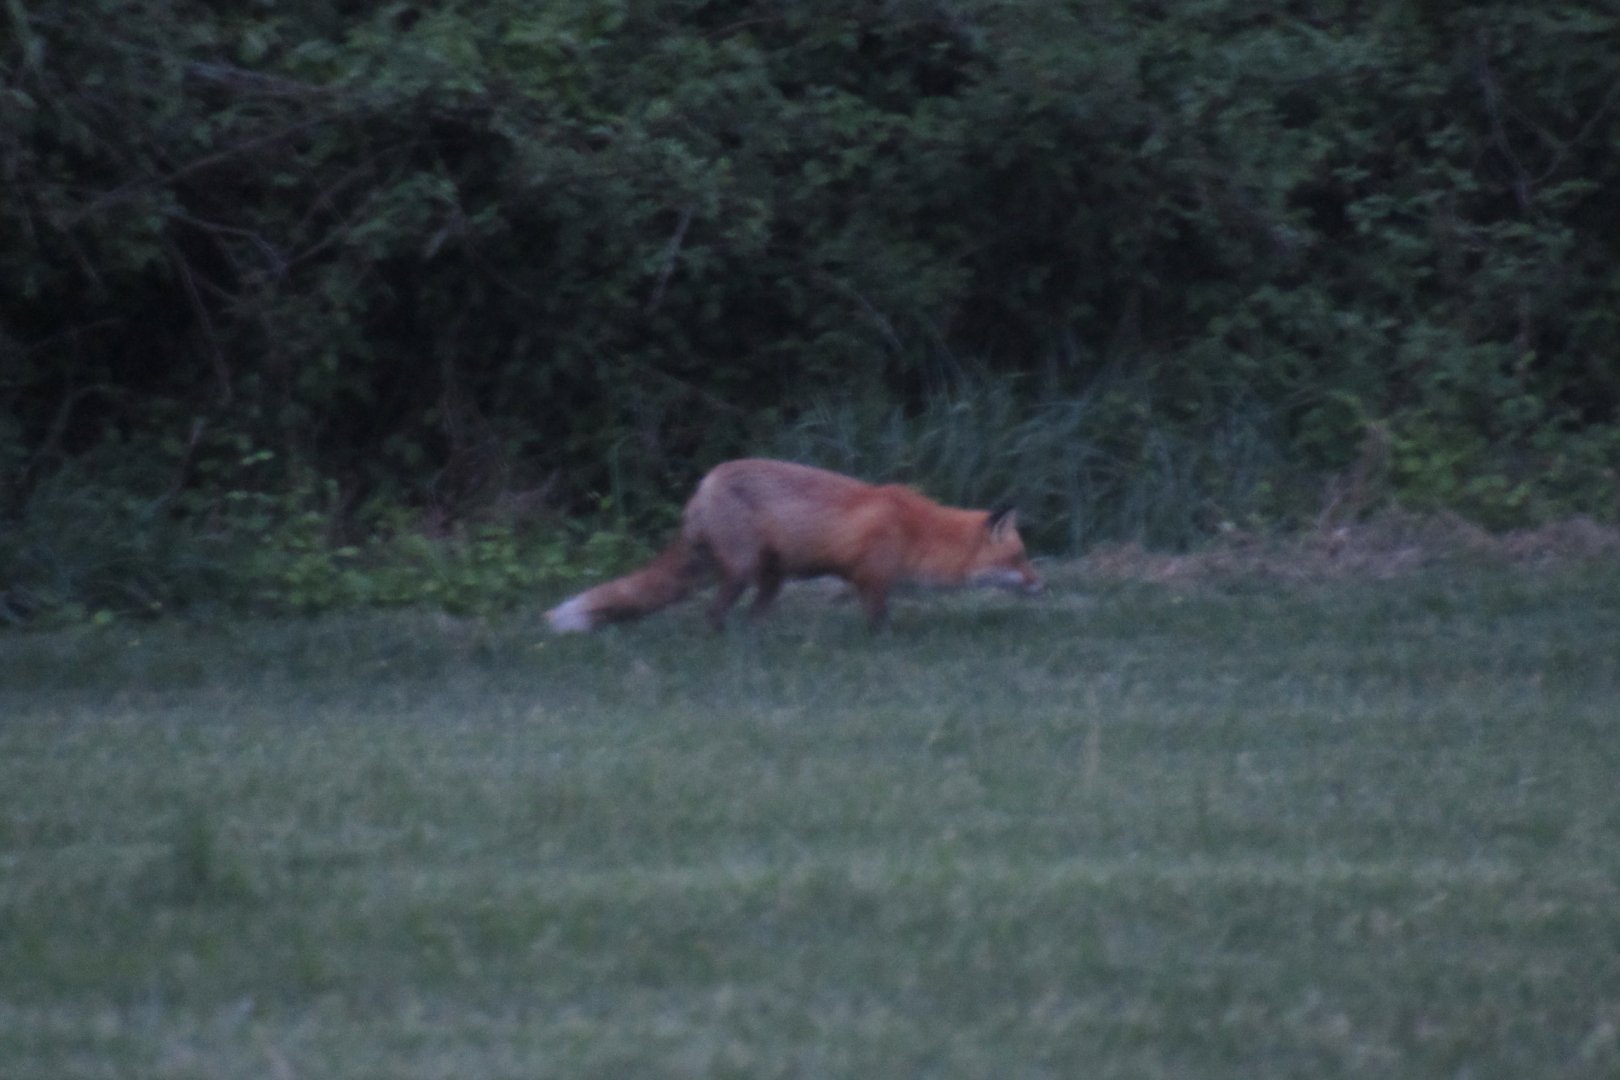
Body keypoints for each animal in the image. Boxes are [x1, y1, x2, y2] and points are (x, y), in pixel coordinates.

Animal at [546, 458, 1043, 633]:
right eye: (1020, 559)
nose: (1043, 584)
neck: (916, 532)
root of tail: (704, 484)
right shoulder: (870, 576)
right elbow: (878, 620)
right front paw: (882, 644)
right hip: (743, 571)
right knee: (715, 614)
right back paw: (721, 641)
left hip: (773, 577)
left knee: (752, 616)